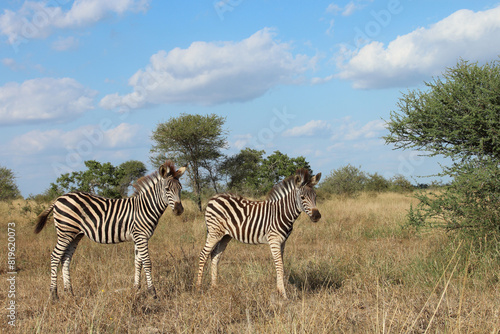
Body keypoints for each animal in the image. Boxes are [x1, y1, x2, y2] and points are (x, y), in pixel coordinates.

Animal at [33, 160, 186, 298]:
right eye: (167, 189)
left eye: (180, 188)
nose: (179, 210)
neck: (145, 207)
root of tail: (59, 198)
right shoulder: (141, 236)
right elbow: (147, 263)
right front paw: (152, 292)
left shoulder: (138, 237)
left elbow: (138, 262)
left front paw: (136, 289)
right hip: (65, 232)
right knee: (55, 256)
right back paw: (54, 295)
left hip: (75, 234)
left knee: (65, 258)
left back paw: (69, 292)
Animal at [197, 168, 322, 298]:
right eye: (302, 197)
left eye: (315, 196)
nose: (317, 216)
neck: (282, 213)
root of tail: (214, 198)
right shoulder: (274, 240)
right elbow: (280, 266)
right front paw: (283, 294)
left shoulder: (283, 242)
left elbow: (280, 265)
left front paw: (279, 291)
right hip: (214, 233)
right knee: (203, 255)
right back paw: (198, 288)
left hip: (225, 236)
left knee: (215, 255)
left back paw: (214, 286)